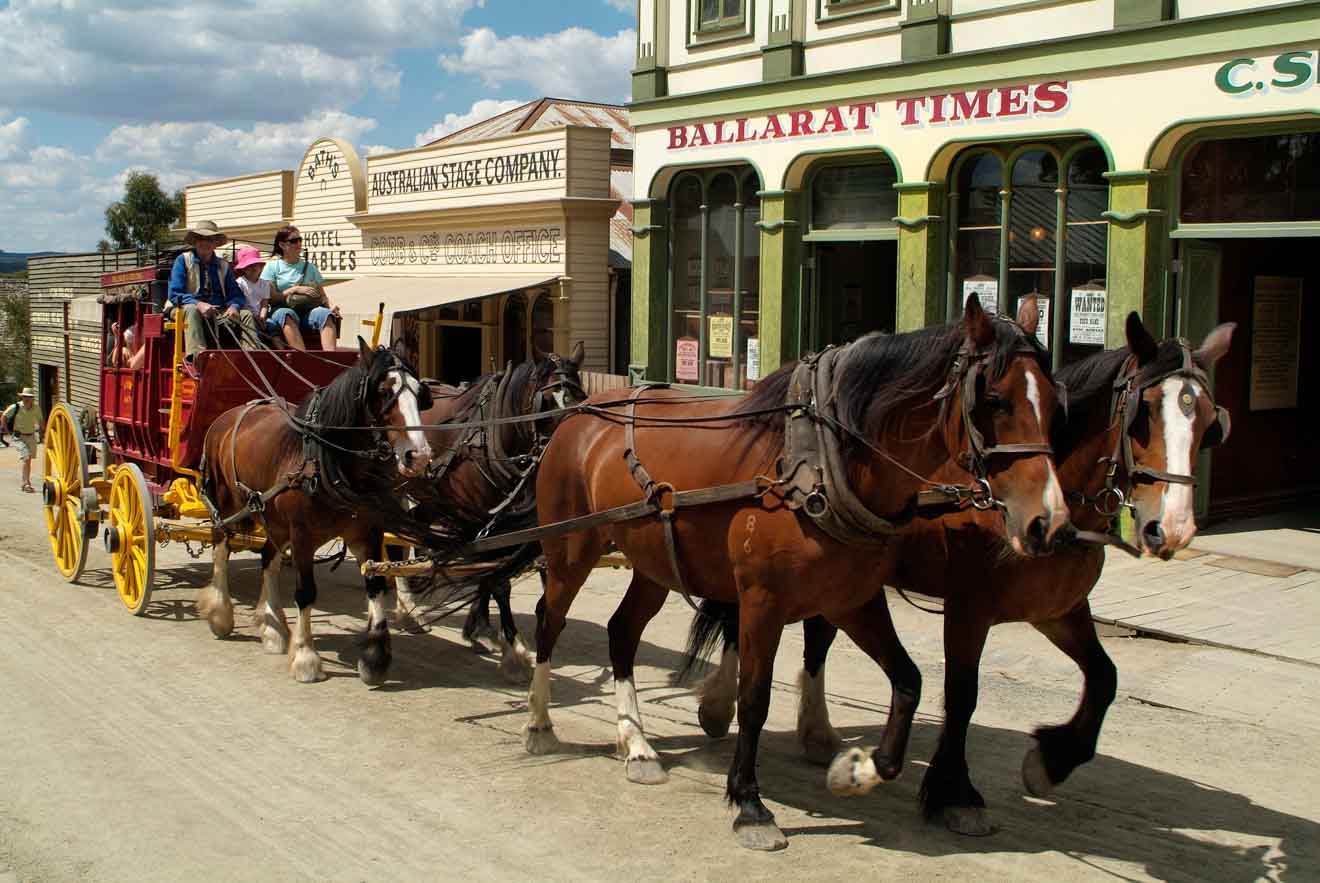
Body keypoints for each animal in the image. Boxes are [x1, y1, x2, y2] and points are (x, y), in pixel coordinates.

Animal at [195, 337, 435, 681]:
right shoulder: (302, 535)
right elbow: (306, 592)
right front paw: (306, 657)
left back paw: (272, 626)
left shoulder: (367, 531)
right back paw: (220, 612)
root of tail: (226, 417)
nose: (419, 455)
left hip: (272, 517)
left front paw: (375, 656)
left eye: (419, 392)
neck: (328, 461)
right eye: (384, 391)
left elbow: (376, 585)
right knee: (221, 547)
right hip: (227, 504)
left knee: (268, 557)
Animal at [393, 340, 586, 681]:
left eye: (579, 399)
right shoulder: (478, 519)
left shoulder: (504, 522)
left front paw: (479, 627)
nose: (564, 456)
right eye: (547, 402)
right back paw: (404, 604)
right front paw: (513, 649)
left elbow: (495, 571)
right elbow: (497, 578)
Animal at [520, 295, 1066, 844]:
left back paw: (636, 745)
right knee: (550, 620)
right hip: (571, 550)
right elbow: (754, 699)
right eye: (994, 400)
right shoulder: (762, 600)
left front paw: (857, 770)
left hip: (654, 565)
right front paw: (749, 802)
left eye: (1055, 402)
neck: (823, 463)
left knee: (622, 631)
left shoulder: (852, 599)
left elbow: (909, 682)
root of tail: (579, 413)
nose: (1048, 521)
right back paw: (540, 724)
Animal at [686, 315, 1230, 834]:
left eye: (1210, 423)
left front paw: (1051, 761)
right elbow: (962, 695)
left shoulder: (1059, 610)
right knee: (745, 621)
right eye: (1144, 414)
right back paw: (720, 704)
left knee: (815, 634)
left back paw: (812, 731)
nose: (1173, 529)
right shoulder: (970, 608)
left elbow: (1104, 678)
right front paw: (954, 792)